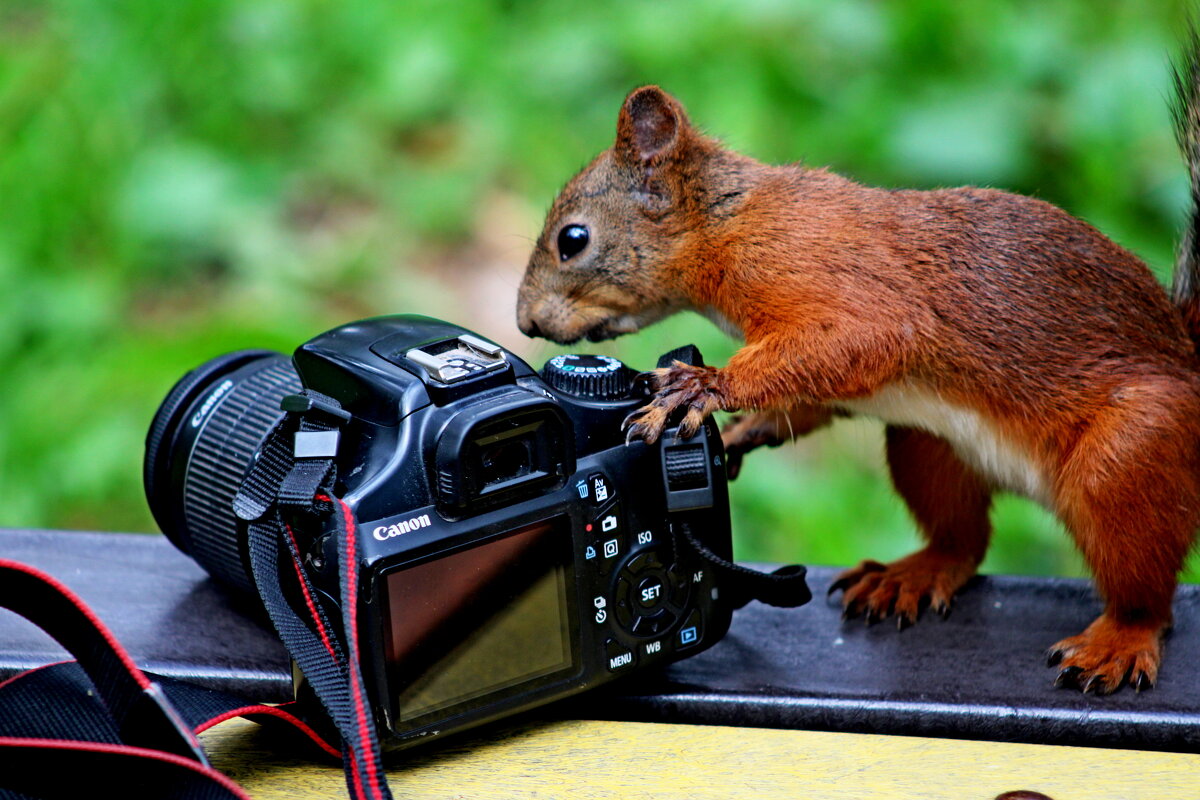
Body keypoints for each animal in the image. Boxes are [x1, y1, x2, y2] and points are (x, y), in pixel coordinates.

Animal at [511, 50, 1200, 690]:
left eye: (573, 240)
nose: (524, 322)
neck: (728, 223)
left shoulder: (826, 275)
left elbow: (861, 338)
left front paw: (703, 388)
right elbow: (818, 393)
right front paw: (746, 431)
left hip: (1127, 461)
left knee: (1146, 595)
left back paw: (1117, 641)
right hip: (926, 448)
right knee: (963, 542)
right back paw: (911, 575)